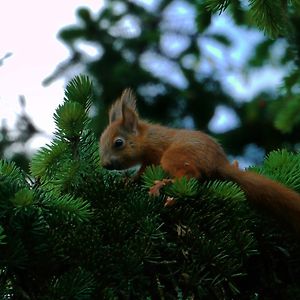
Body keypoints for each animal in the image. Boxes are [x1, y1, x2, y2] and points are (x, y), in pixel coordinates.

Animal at [99, 88, 300, 231]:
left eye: (118, 143)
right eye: (100, 141)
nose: (105, 164)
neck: (147, 137)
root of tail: (219, 162)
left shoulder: (154, 154)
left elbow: (143, 171)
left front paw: (131, 180)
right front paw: (126, 181)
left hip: (174, 157)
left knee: (192, 175)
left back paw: (165, 185)